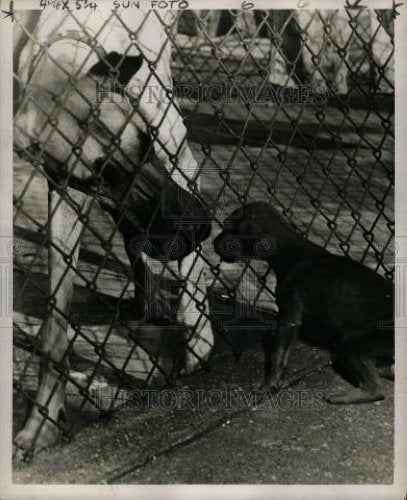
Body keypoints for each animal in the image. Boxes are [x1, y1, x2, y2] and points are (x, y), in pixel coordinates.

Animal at [214, 201, 396, 404]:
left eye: (228, 226)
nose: (213, 242)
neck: (288, 250)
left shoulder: (289, 318)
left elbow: (278, 356)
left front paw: (268, 386)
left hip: (352, 344)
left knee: (375, 388)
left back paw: (343, 396)